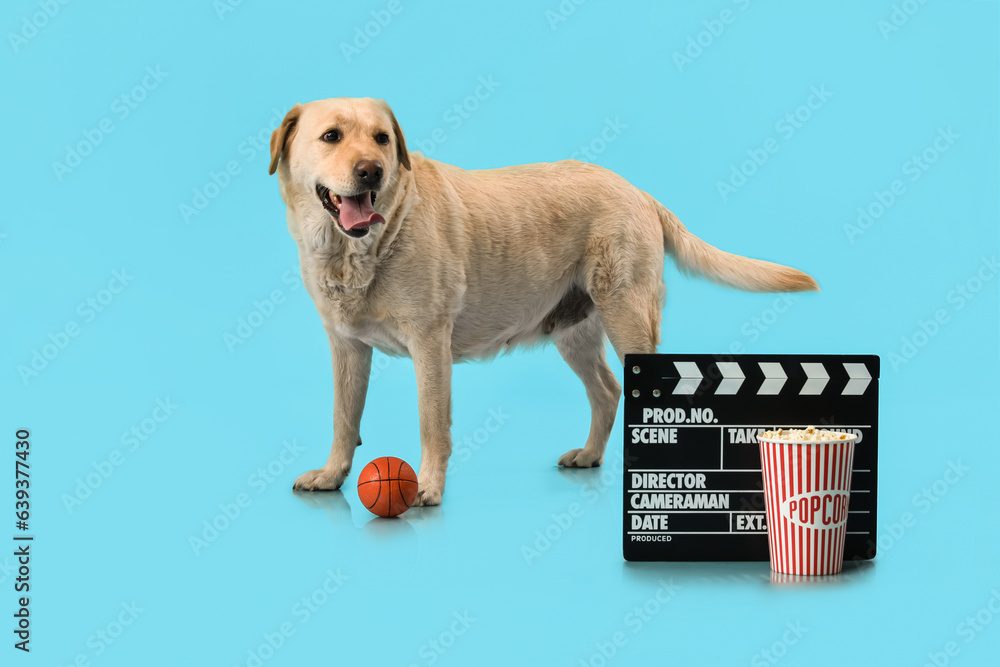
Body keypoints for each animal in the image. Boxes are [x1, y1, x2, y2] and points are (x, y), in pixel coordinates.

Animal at [270, 96, 816, 506]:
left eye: (382, 139)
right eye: (331, 136)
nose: (371, 172)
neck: (362, 250)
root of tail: (638, 190)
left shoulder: (430, 344)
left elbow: (431, 422)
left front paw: (427, 487)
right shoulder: (347, 347)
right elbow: (344, 417)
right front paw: (332, 474)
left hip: (628, 316)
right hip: (573, 331)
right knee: (607, 391)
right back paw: (591, 455)